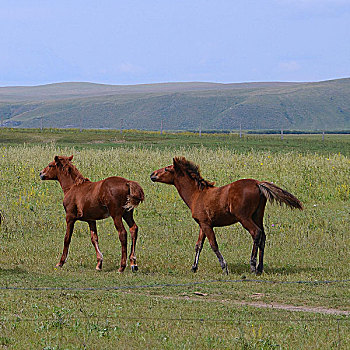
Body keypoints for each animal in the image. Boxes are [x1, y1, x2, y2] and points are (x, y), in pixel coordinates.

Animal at [151, 157, 304, 274]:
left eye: (167, 169)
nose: (152, 174)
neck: (197, 194)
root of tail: (258, 183)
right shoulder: (203, 224)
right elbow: (198, 245)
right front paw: (194, 267)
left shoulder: (206, 224)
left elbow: (213, 245)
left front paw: (224, 267)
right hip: (258, 215)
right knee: (263, 236)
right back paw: (260, 268)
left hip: (244, 217)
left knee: (256, 233)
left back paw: (253, 266)